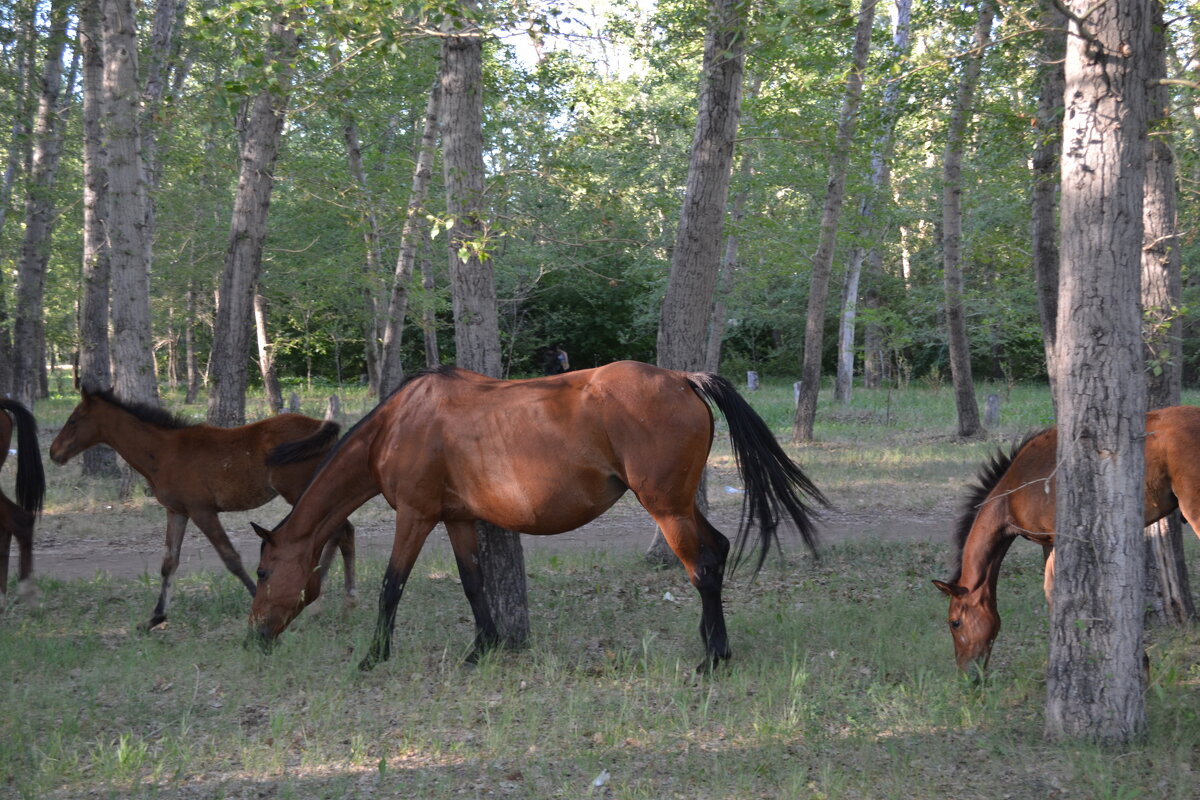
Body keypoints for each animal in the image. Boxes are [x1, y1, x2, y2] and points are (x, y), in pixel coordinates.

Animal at [49, 388, 355, 633]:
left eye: (74, 420)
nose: (53, 452)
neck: (164, 452)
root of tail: (323, 424)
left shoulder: (202, 511)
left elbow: (231, 558)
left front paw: (258, 599)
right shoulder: (177, 511)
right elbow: (169, 562)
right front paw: (155, 618)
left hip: (301, 489)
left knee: (340, 530)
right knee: (342, 531)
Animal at [248, 362, 830, 671]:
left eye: (262, 571)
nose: (256, 635)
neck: (399, 423)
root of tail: (681, 378)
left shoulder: (414, 515)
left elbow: (392, 586)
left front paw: (373, 656)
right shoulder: (456, 519)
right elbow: (473, 583)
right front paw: (482, 648)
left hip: (666, 508)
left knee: (703, 567)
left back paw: (712, 658)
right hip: (680, 504)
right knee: (718, 551)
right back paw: (715, 646)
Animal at [931, 407, 1200, 681]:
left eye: (955, 622)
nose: (967, 676)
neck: (1013, 490)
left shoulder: (1059, 539)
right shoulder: (1049, 543)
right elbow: (1055, 593)